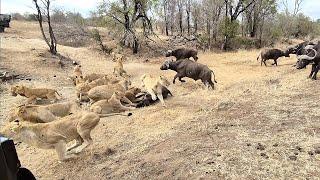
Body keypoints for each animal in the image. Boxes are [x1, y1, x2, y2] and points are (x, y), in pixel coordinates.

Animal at [0, 112, 131, 161]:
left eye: (5, 131)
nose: (0, 133)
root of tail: (96, 113)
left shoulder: (59, 140)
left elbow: (61, 158)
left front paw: (70, 156)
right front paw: (69, 152)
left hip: (81, 127)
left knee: (89, 142)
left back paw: (77, 151)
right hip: (76, 132)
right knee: (80, 142)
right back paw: (71, 148)